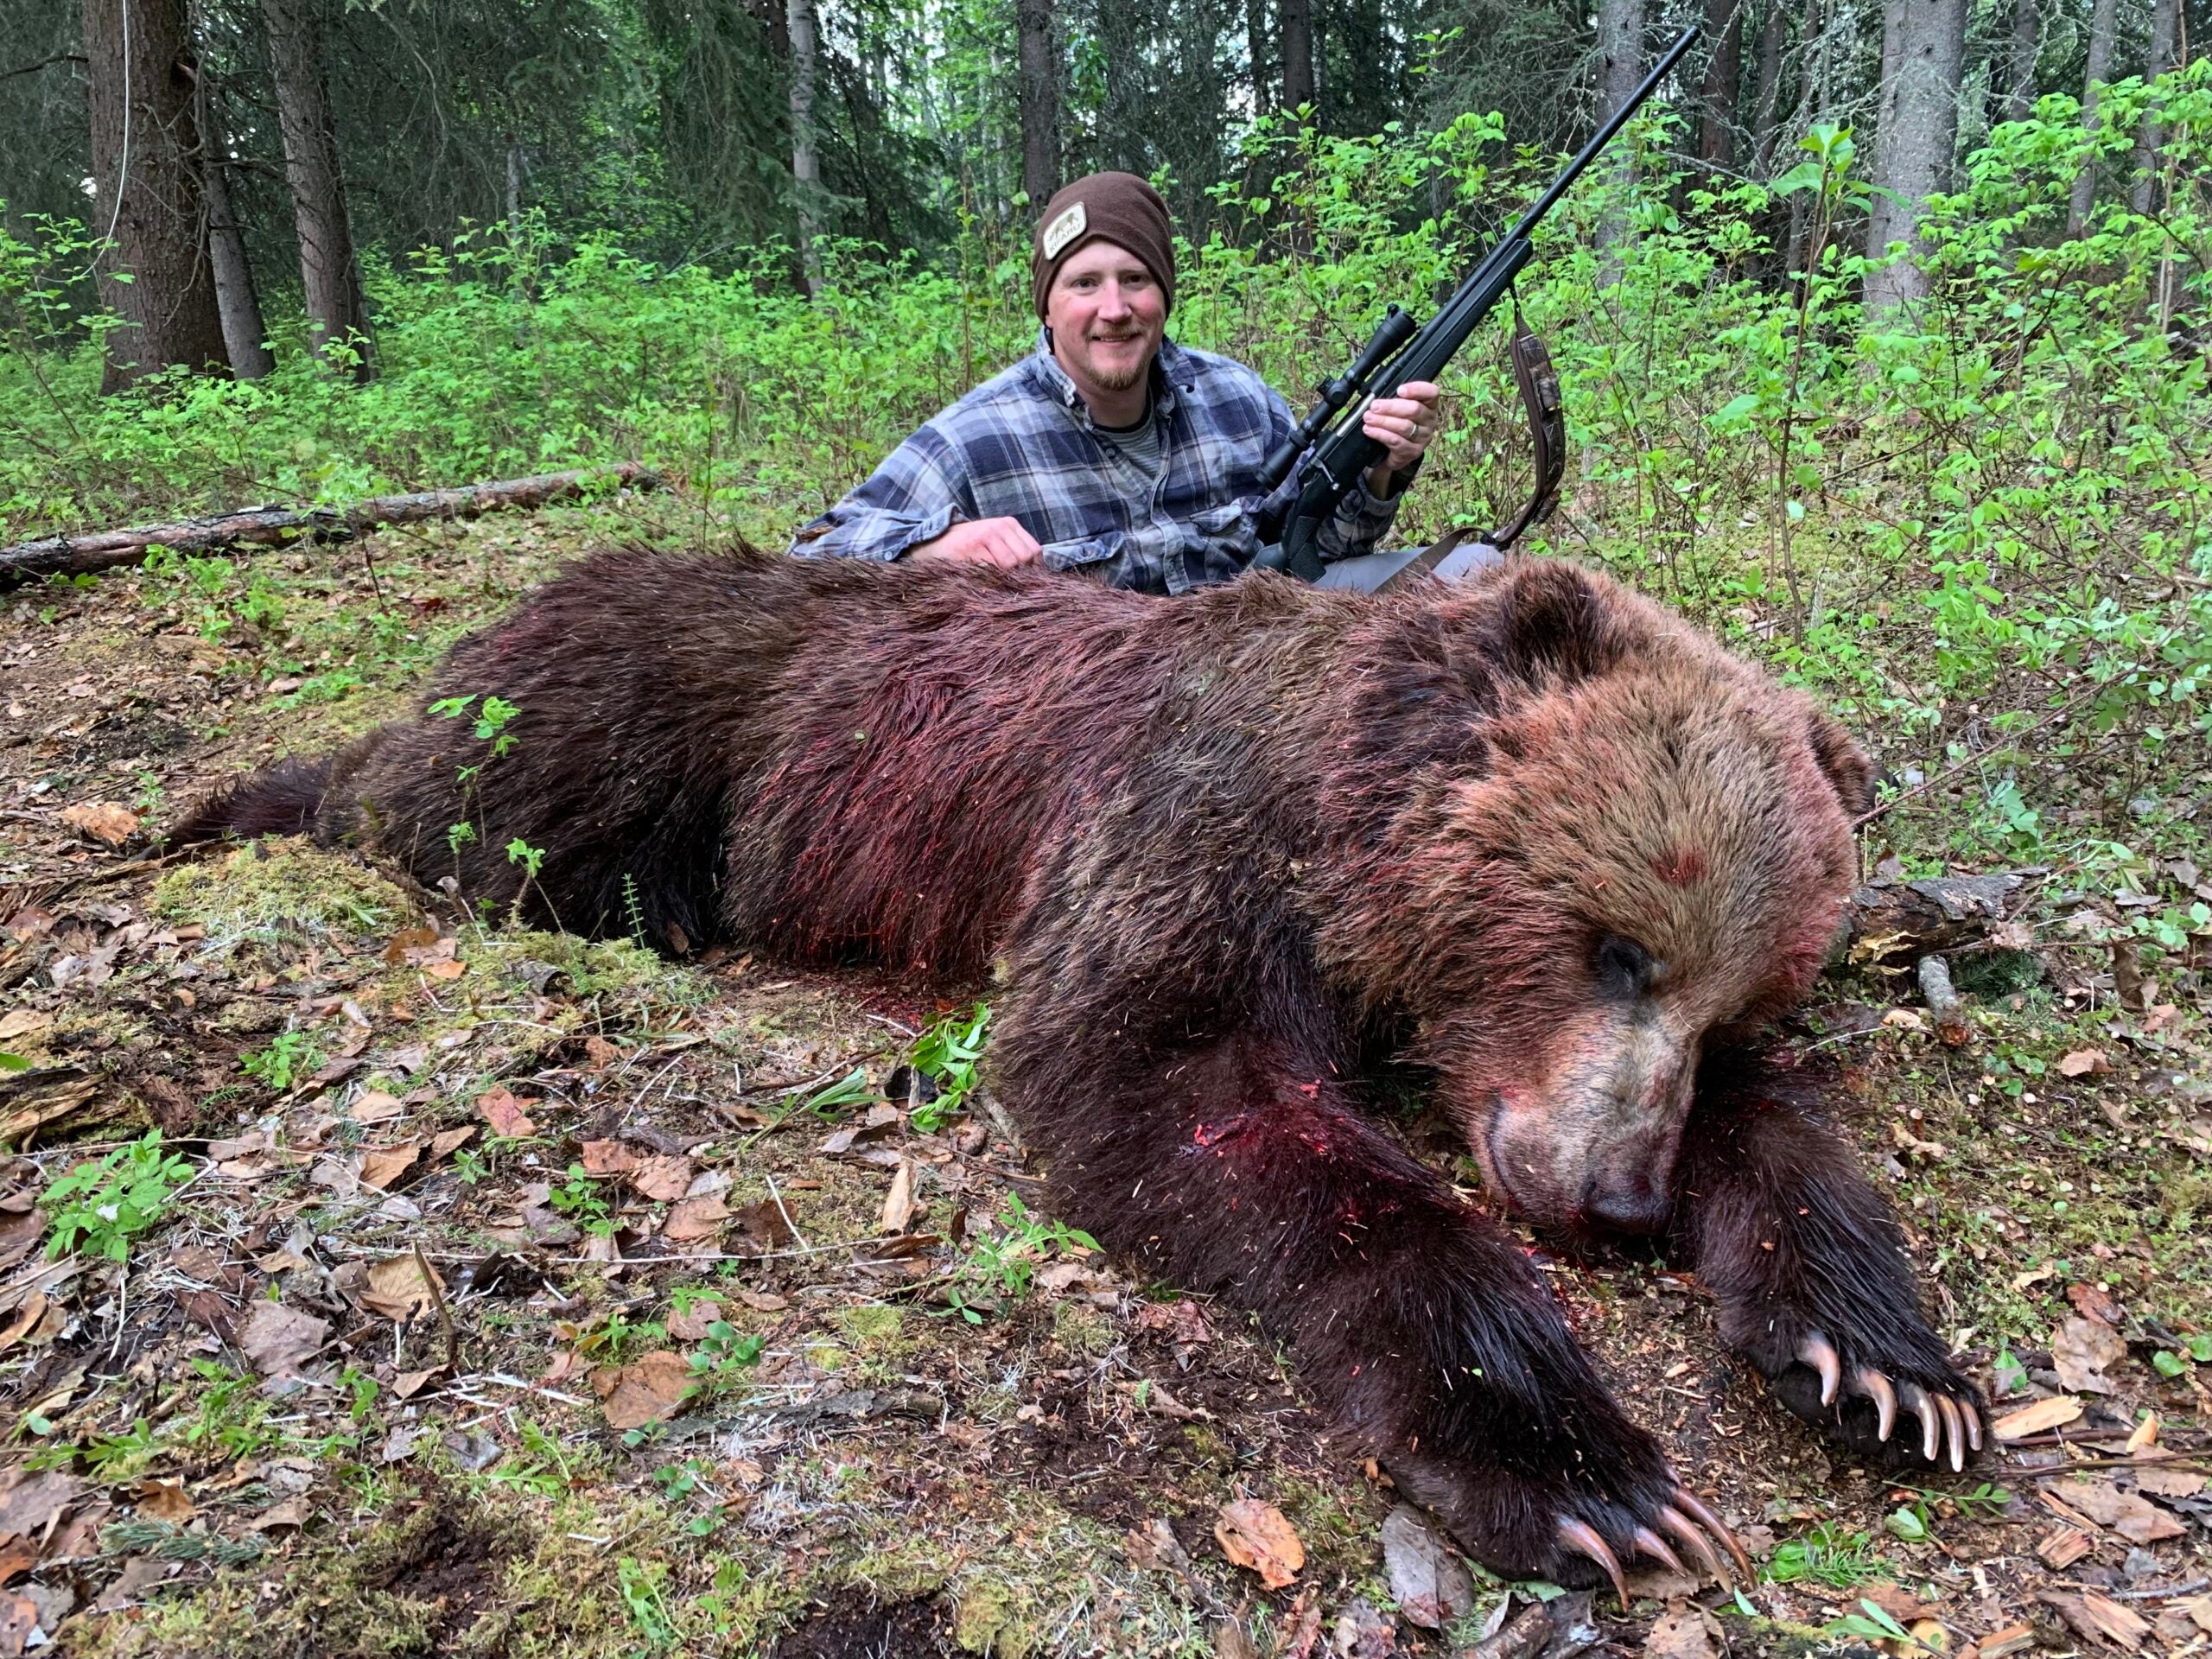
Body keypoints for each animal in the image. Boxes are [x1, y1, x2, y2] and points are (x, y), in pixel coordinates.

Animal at [175, 547, 1983, 1596]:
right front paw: (1577, 1464)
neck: (1347, 833)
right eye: (1616, 944)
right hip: (662, 712)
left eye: (1737, 994)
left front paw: (1891, 1368)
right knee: (459, 808)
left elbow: (1786, 1139)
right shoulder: (1188, 843)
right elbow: (1177, 1086)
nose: (1611, 1197)